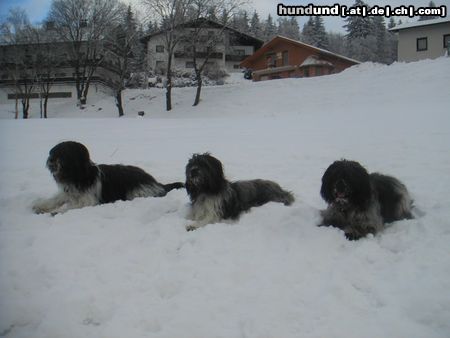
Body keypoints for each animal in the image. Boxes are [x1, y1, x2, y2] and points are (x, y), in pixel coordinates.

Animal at [31, 141, 184, 214]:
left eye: (64, 153)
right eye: (54, 151)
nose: (50, 160)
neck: (78, 176)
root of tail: (156, 182)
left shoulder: (88, 201)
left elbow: (72, 207)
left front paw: (56, 212)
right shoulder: (68, 193)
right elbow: (55, 199)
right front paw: (40, 206)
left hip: (136, 192)